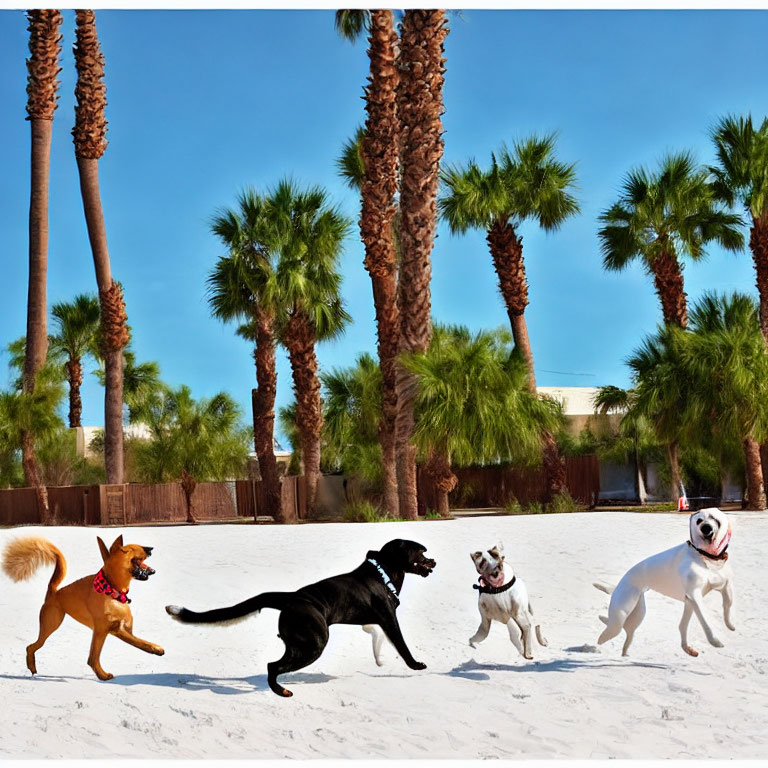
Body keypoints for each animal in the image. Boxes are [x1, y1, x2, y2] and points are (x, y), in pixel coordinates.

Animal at [1, 536, 164, 680]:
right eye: (128, 549)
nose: (149, 548)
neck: (112, 590)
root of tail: (53, 592)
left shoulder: (118, 629)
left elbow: (138, 641)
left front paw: (154, 648)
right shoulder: (105, 630)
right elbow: (93, 658)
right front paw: (103, 675)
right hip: (50, 624)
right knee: (31, 646)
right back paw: (32, 667)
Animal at [165, 540, 436, 696]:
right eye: (421, 552)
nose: (433, 560)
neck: (383, 574)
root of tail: (290, 598)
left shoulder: (373, 623)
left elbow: (377, 640)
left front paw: (380, 660)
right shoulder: (389, 619)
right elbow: (401, 644)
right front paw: (416, 665)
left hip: (298, 643)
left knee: (274, 664)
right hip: (314, 644)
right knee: (272, 666)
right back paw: (281, 691)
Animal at [596, 508, 736, 656]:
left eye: (714, 519)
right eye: (699, 521)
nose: (705, 528)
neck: (706, 557)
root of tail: (619, 584)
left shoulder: (720, 588)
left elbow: (727, 606)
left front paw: (729, 625)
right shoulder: (695, 595)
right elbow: (706, 621)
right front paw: (715, 641)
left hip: (637, 614)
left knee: (629, 634)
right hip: (620, 615)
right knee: (607, 633)